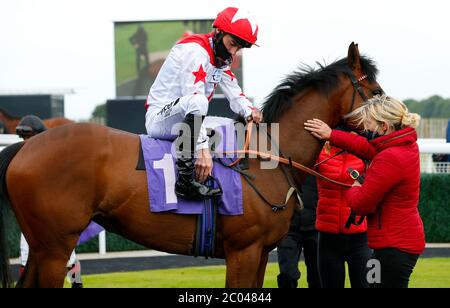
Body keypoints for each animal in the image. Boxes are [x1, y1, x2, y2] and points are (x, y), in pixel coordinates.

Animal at [0, 42, 384, 288]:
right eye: (377, 91)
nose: (391, 129)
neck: (265, 159)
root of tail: (25, 146)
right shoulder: (243, 251)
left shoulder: (260, 252)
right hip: (55, 247)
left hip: (41, 246)